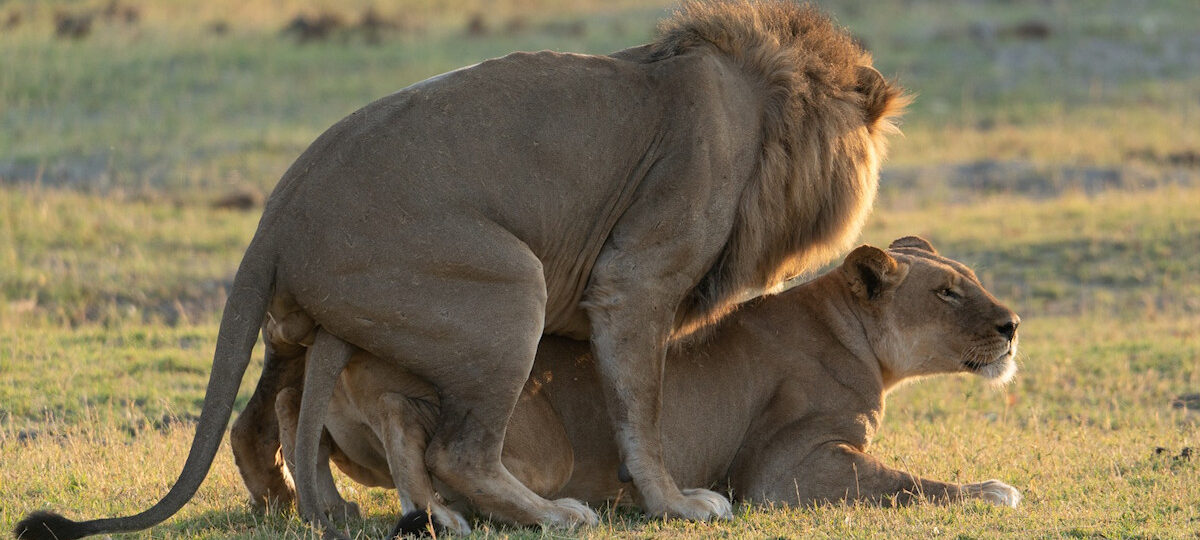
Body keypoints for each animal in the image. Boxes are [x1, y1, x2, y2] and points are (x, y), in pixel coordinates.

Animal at [15, 2, 907, 539]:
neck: (760, 107)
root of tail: (275, 214)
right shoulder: (636, 280)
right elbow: (641, 410)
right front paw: (677, 504)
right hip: (509, 291)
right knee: (461, 451)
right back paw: (555, 514)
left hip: (306, 329)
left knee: (256, 422)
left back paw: (307, 505)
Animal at [261, 237, 1022, 536]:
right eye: (947, 293)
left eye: (968, 280)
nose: (1013, 324)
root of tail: (350, 343)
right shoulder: (787, 466)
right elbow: (908, 483)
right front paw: (993, 491)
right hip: (540, 444)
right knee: (425, 434)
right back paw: (461, 512)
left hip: (338, 417)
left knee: (293, 405)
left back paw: (326, 500)